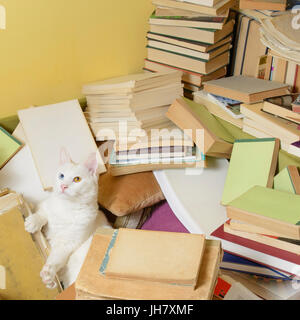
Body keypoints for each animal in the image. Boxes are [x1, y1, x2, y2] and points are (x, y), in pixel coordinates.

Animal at [24, 149, 110, 288]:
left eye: (77, 179)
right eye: (61, 176)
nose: (63, 186)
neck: (67, 207)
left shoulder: (66, 245)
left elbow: (55, 259)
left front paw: (48, 273)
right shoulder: (45, 204)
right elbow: (43, 214)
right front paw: (33, 222)